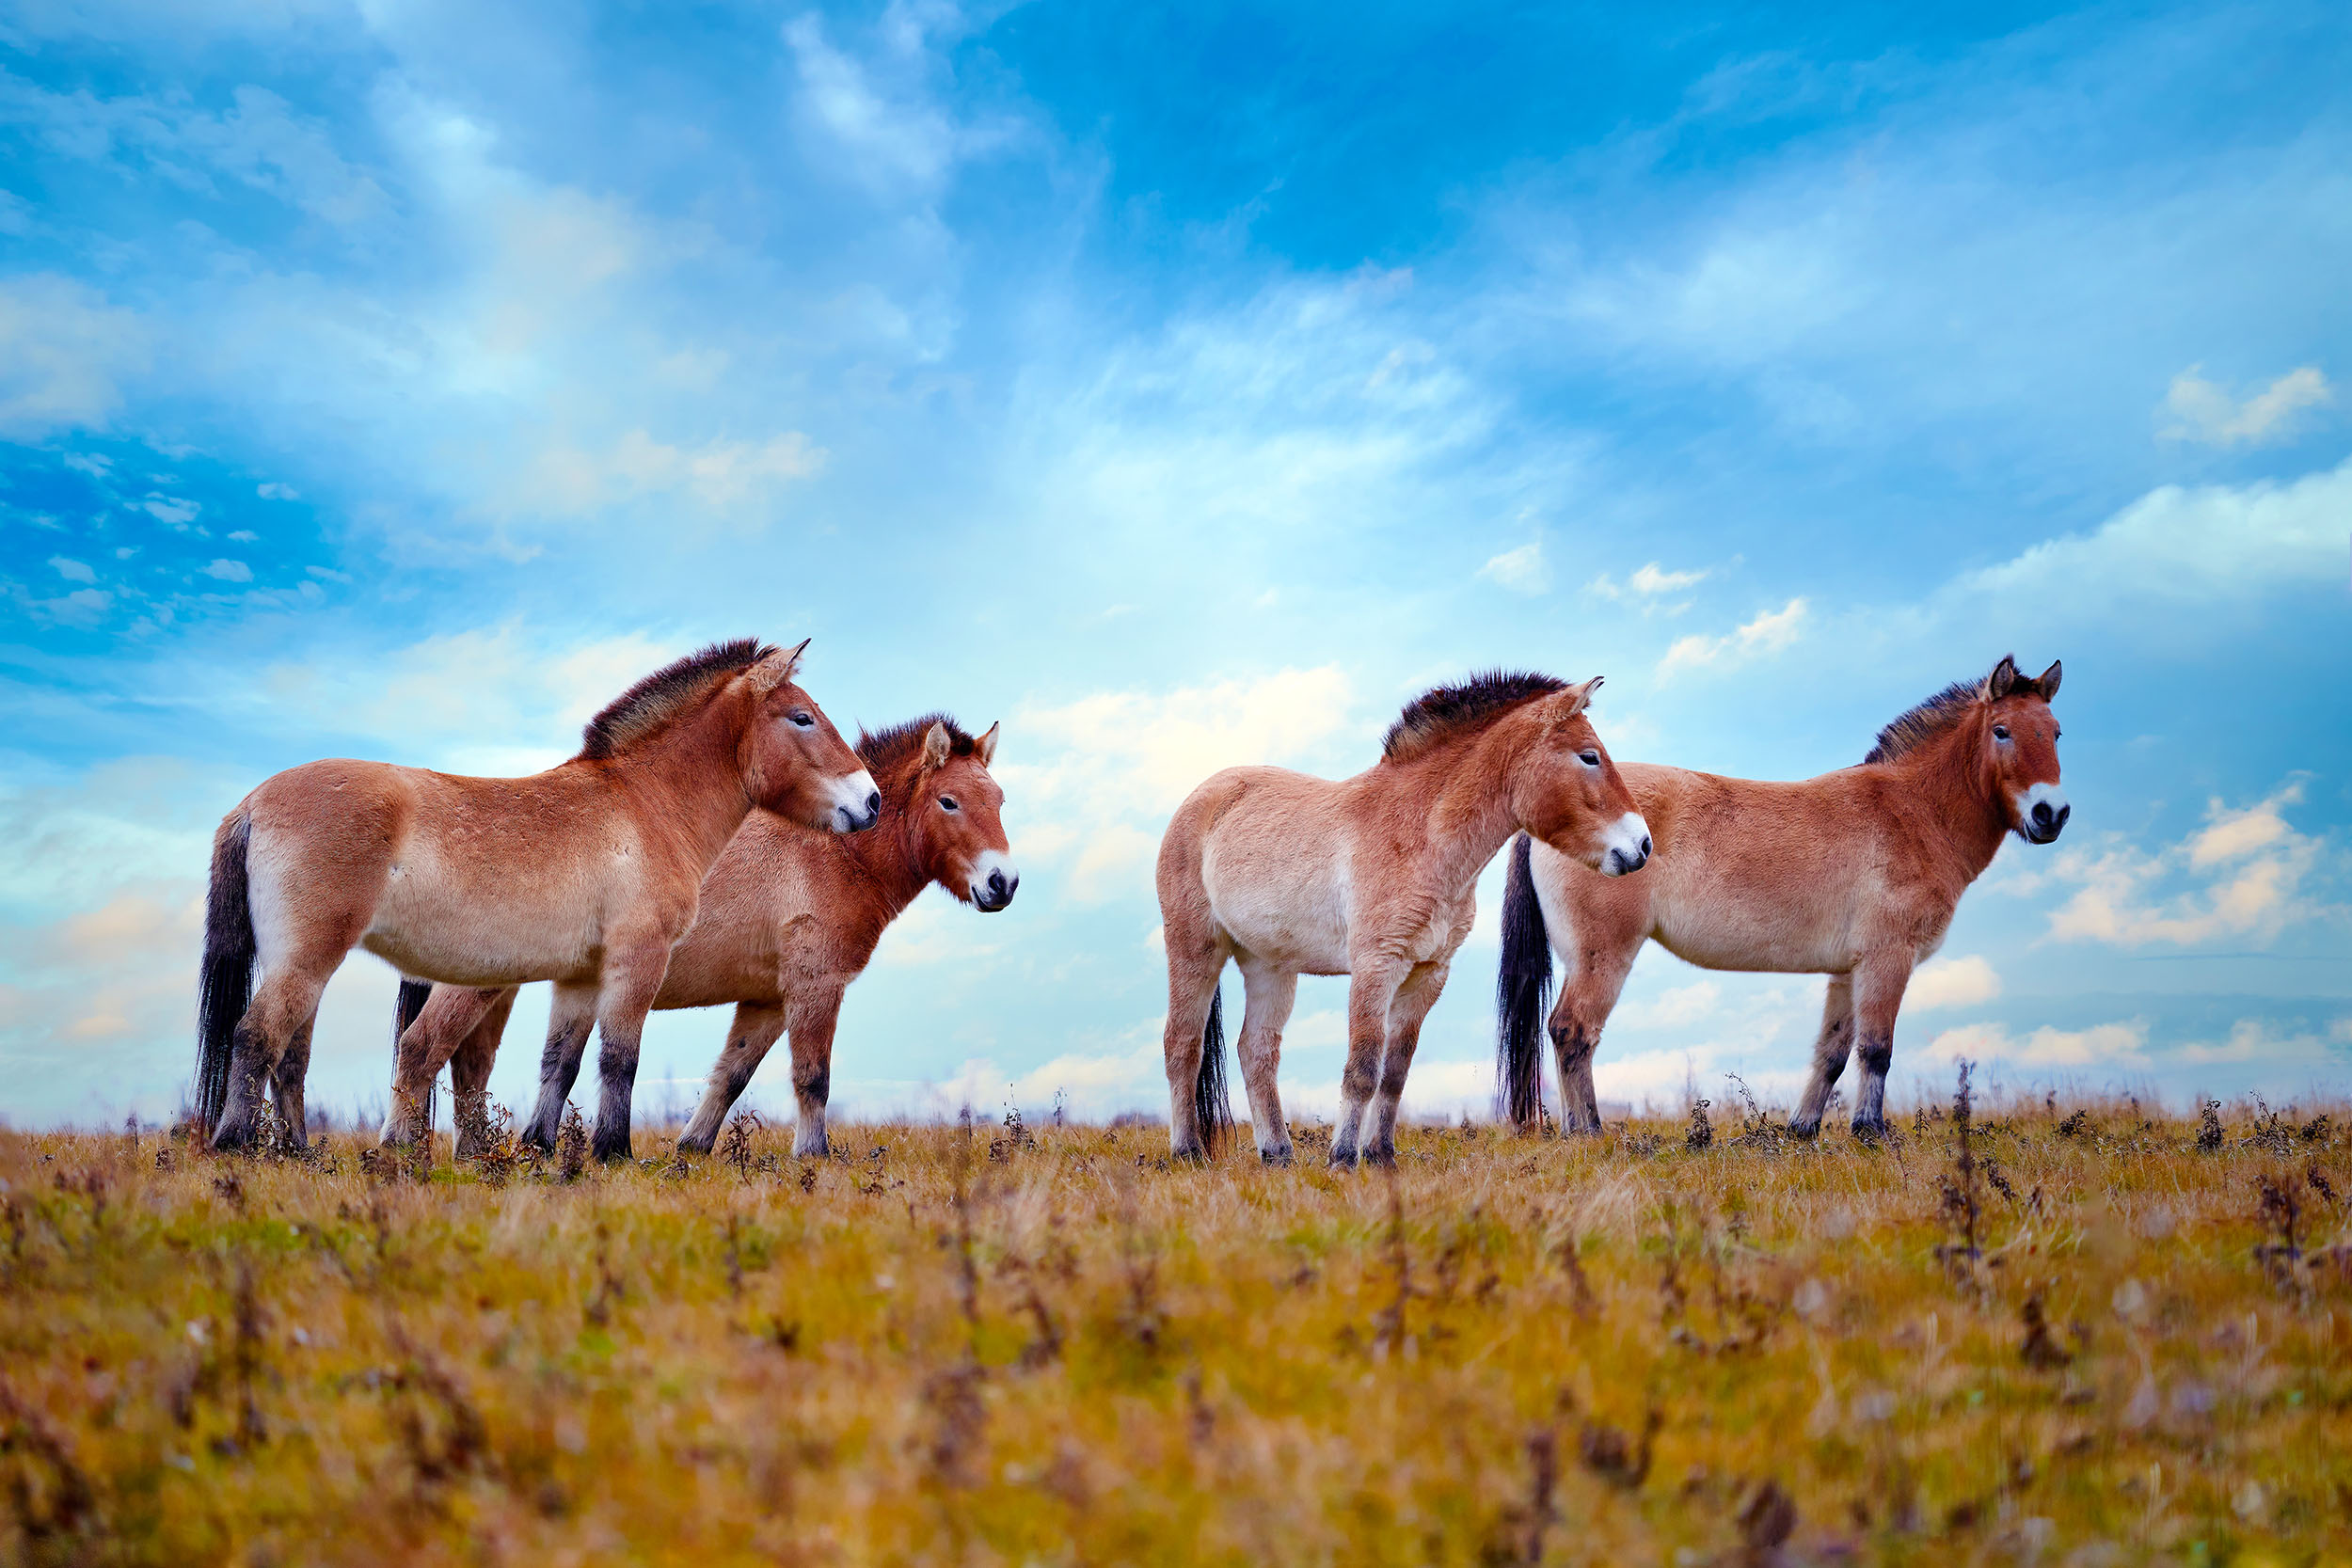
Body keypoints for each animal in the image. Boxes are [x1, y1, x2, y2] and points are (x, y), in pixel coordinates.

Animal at [195, 638, 880, 1161]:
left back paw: (300, 1152)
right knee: (258, 1035)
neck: (646, 804)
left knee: (293, 1053)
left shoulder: (579, 978)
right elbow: (620, 1059)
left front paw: (543, 1150)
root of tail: (251, 803)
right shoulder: (638, 961)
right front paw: (612, 1153)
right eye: (801, 717)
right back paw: (235, 1145)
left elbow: (562, 1063)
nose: (871, 800)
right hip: (308, 957)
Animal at [384, 715, 1015, 1161]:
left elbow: (730, 1076)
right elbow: (813, 1078)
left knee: (471, 1066)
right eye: (949, 801)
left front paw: (691, 1148)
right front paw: (814, 1157)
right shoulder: (815, 987)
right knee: (423, 1049)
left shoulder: (766, 1001)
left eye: (1001, 801)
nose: (1002, 883)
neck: (833, 851)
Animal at [1158, 671, 1651, 1168]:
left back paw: (1277, 1154)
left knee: (1256, 1051)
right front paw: (1343, 1158)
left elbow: (1395, 1071)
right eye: (1589, 756)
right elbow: (1363, 1067)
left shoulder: (1427, 974)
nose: (1643, 846)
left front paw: (1380, 1155)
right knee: (1182, 1045)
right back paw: (1187, 1151)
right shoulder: (1376, 967)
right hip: (1195, 949)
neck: (1421, 834)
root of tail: (1202, 799)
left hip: (1269, 965)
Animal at [1495, 654, 2066, 1140]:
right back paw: (1590, 1132)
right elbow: (1876, 1049)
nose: (2051, 814)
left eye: (2057, 732)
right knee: (1573, 1031)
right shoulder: (1888, 959)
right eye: (2001, 731)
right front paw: (1872, 1133)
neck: (1912, 811)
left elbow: (1833, 1052)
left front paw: (1803, 1129)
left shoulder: (1850, 970)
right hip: (1603, 957)